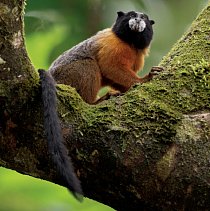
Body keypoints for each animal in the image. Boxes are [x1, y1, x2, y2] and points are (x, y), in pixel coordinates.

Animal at [38, 10, 155, 199]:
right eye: (131, 15)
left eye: (143, 18)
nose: (137, 19)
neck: (130, 43)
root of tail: (53, 77)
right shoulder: (112, 44)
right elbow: (110, 67)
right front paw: (143, 80)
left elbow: (113, 78)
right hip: (68, 76)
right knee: (88, 64)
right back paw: (94, 102)